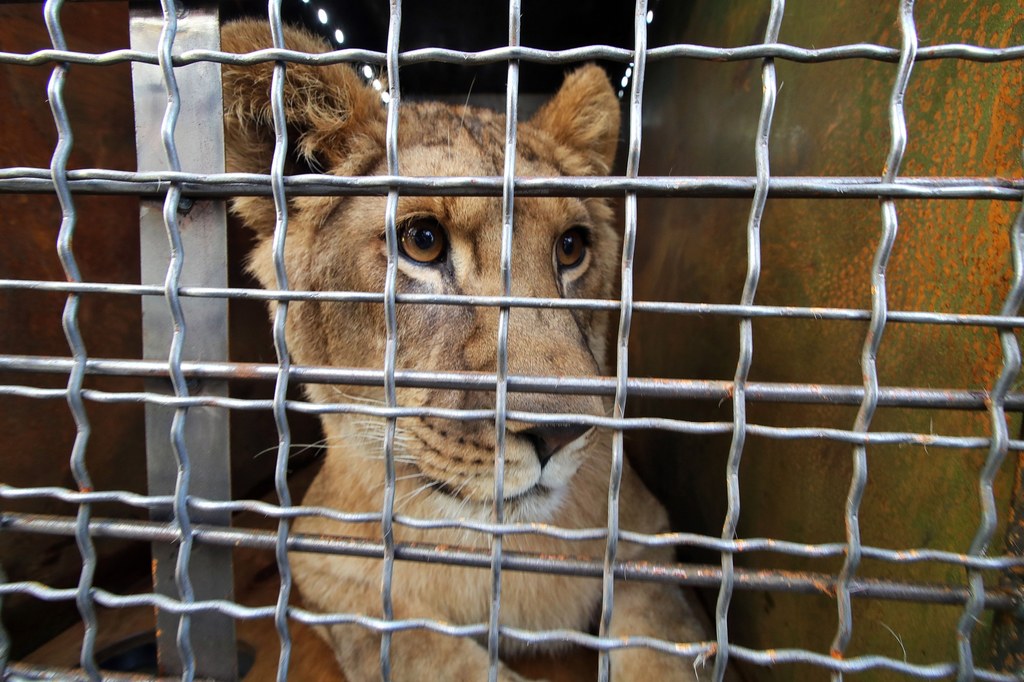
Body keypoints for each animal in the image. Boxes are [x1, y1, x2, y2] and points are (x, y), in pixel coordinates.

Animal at [221, 19, 708, 679]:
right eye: (423, 241)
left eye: (572, 247)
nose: (559, 434)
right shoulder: (328, 576)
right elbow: (431, 653)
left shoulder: (647, 544)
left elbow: (661, 649)